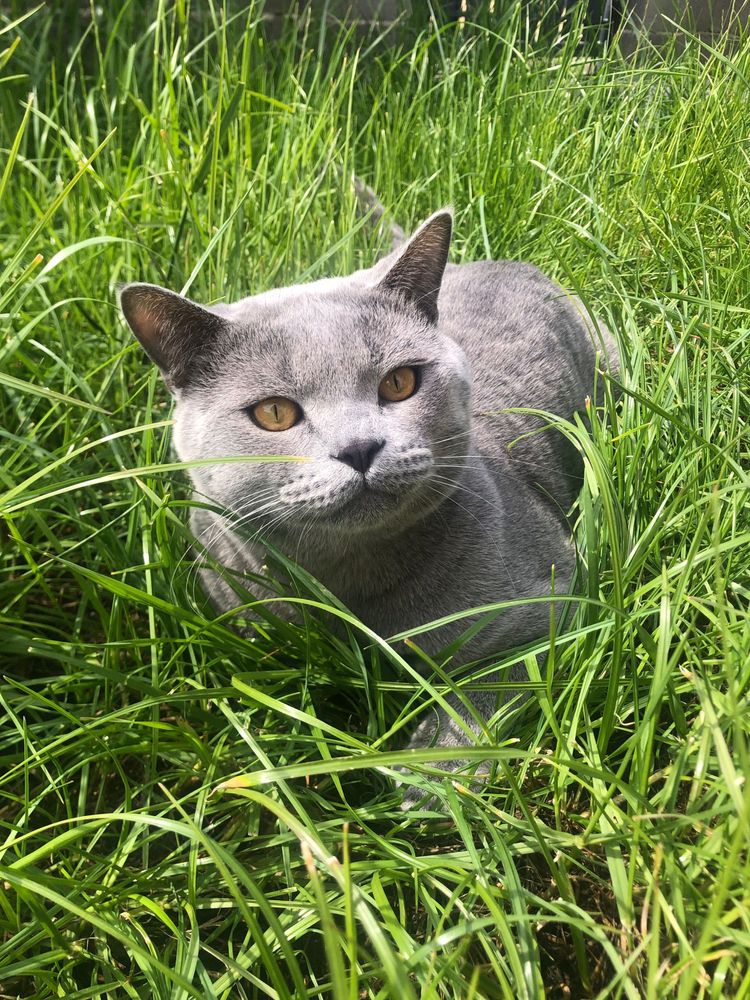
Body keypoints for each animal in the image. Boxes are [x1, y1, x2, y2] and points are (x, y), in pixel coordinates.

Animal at [120, 207, 620, 800]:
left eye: (399, 382)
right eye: (274, 414)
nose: (359, 448)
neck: (346, 591)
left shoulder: (556, 596)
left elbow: (495, 681)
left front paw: (435, 771)